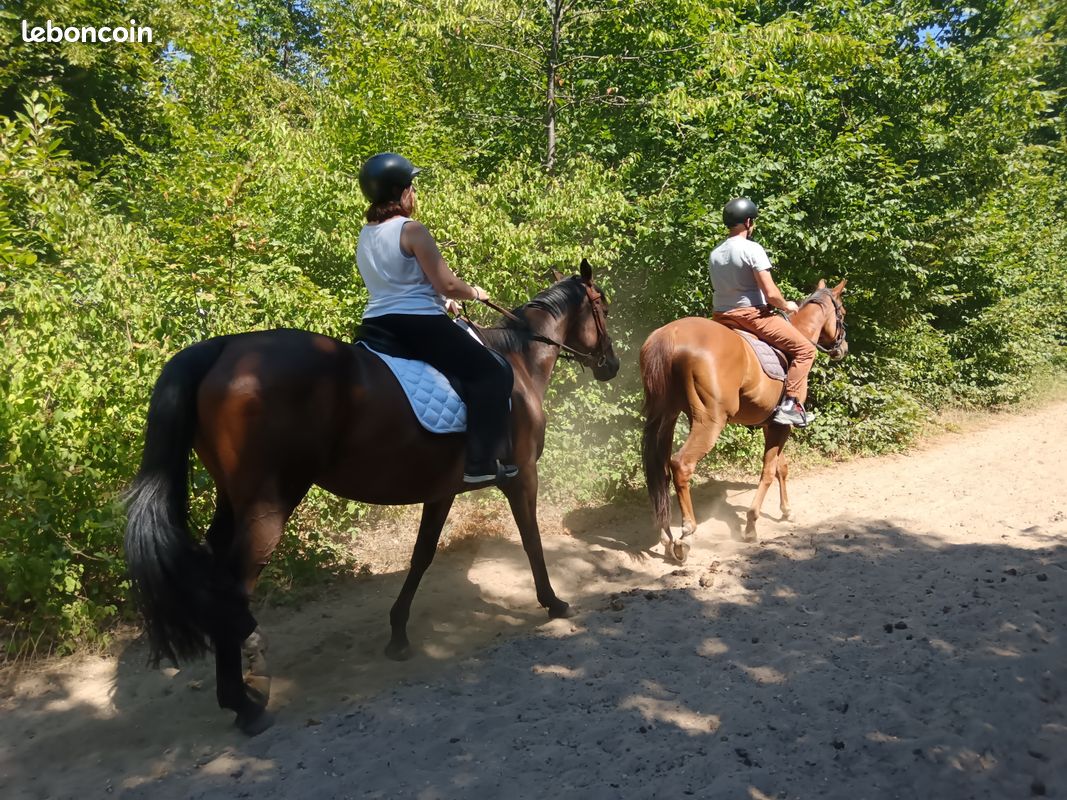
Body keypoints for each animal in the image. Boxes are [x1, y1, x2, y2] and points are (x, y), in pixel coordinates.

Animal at [123, 259, 619, 734]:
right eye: (604, 308)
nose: (611, 365)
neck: (515, 360)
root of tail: (223, 348)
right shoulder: (523, 476)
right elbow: (531, 539)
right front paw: (553, 602)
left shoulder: (442, 490)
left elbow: (422, 556)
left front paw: (398, 634)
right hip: (268, 507)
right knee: (233, 586)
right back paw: (243, 703)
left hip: (233, 501)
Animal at [639, 280, 847, 560]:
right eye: (842, 313)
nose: (843, 349)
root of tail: (670, 335)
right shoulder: (783, 425)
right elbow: (768, 471)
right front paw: (751, 525)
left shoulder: (773, 424)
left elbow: (781, 467)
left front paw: (786, 511)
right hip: (709, 422)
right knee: (681, 465)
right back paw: (686, 535)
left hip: (667, 416)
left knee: (661, 470)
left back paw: (666, 537)